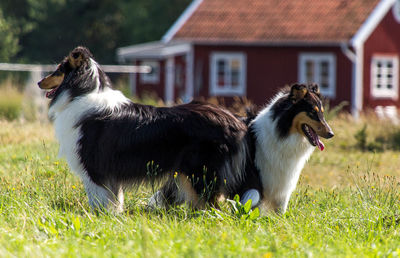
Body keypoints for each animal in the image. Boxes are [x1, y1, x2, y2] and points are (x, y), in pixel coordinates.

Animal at [37, 46, 247, 212]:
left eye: (58, 70)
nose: (39, 82)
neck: (81, 93)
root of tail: (235, 120)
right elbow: (115, 198)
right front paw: (114, 215)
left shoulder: (94, 167)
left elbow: (99, 198)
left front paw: (99, 216)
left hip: (199, 173)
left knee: (212, 205)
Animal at [236, 84, 332, 214]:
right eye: (312, 112)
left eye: (322, 113)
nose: (331, 134)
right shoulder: (254, 183)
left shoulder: (282, 189)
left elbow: (281, 212)